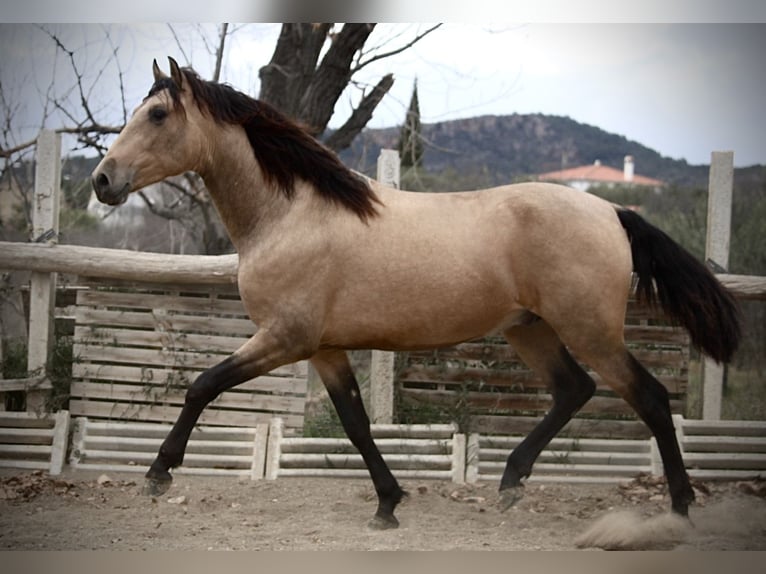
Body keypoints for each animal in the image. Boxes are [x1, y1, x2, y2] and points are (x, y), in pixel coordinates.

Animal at [91, 58, 744, 532]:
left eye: (156, 114)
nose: (102, 180)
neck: (290, 214)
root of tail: (610, 209)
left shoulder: (284, 339)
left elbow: (202, 385)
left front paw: (158, 473)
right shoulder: (324, 350)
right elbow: (356, 425)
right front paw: (388, 504)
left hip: (590, 331)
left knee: (650, 399)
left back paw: (680, 507)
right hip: (529, 327)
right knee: (572, 390)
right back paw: (510, 483)